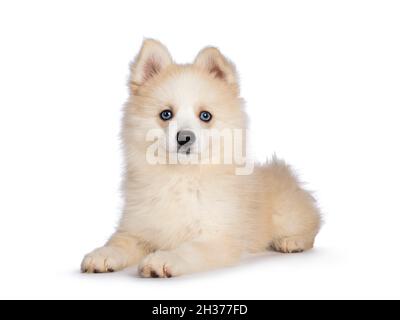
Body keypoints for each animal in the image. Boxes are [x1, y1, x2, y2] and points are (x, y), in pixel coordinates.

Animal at [81, 38, 322, 276]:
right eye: (166, 114)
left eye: (205, 116)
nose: (184, 137)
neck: (181, 177)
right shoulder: (138, 227)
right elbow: (119, 242)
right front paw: (102, 255)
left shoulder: (217, 237)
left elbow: (189, 250)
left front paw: (162, 260)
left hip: (287, 213)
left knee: (312, 223)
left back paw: (292, 242)